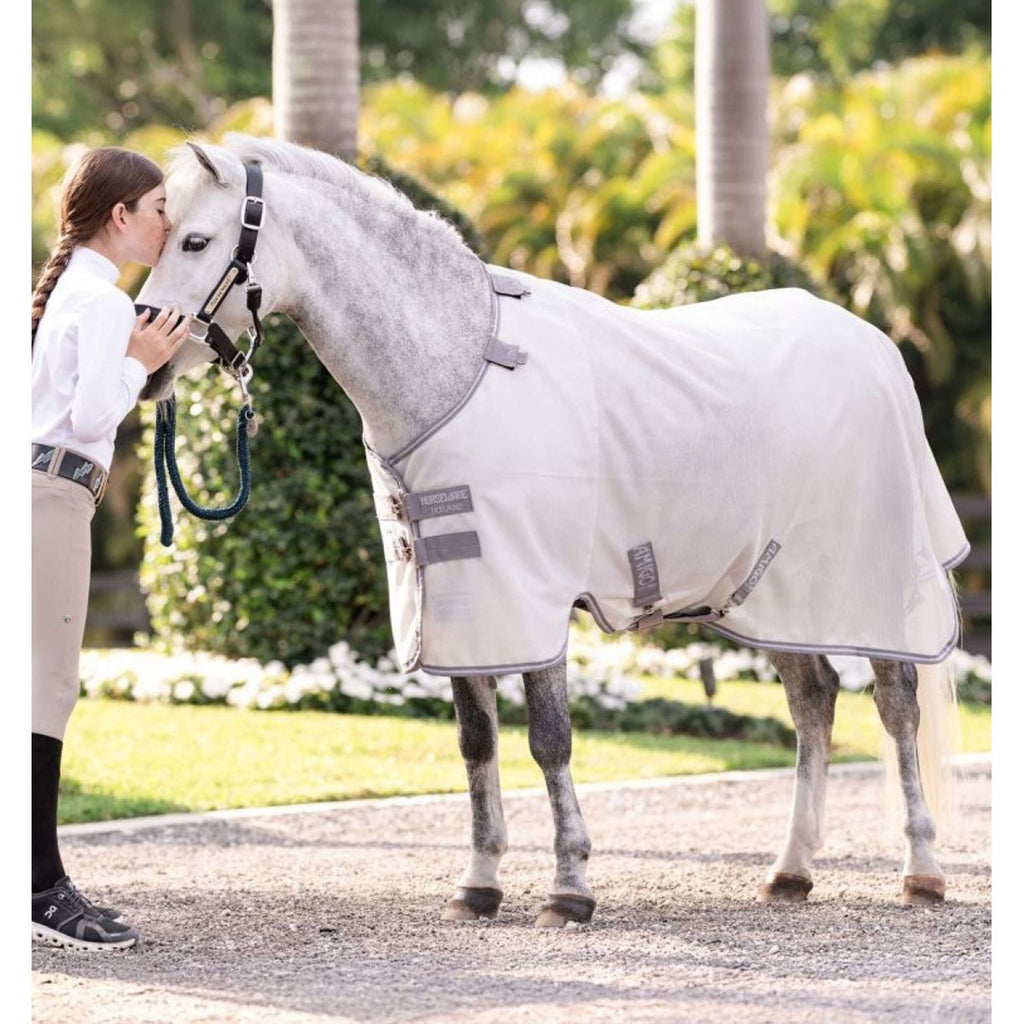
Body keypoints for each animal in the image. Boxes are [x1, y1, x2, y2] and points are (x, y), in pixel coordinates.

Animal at [137, 133, 965, 927]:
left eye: (196, 241)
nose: (146, 364)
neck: (459, 368)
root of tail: (874, 343)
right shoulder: (463, 599)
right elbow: (477, 745)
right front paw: (478, 885)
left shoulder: (532, 596)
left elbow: (549, 739)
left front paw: (569, 889)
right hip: (771, 594)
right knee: (813, 701)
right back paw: (790, 871)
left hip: (870, 581)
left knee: (896, 707)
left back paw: (921, 870)